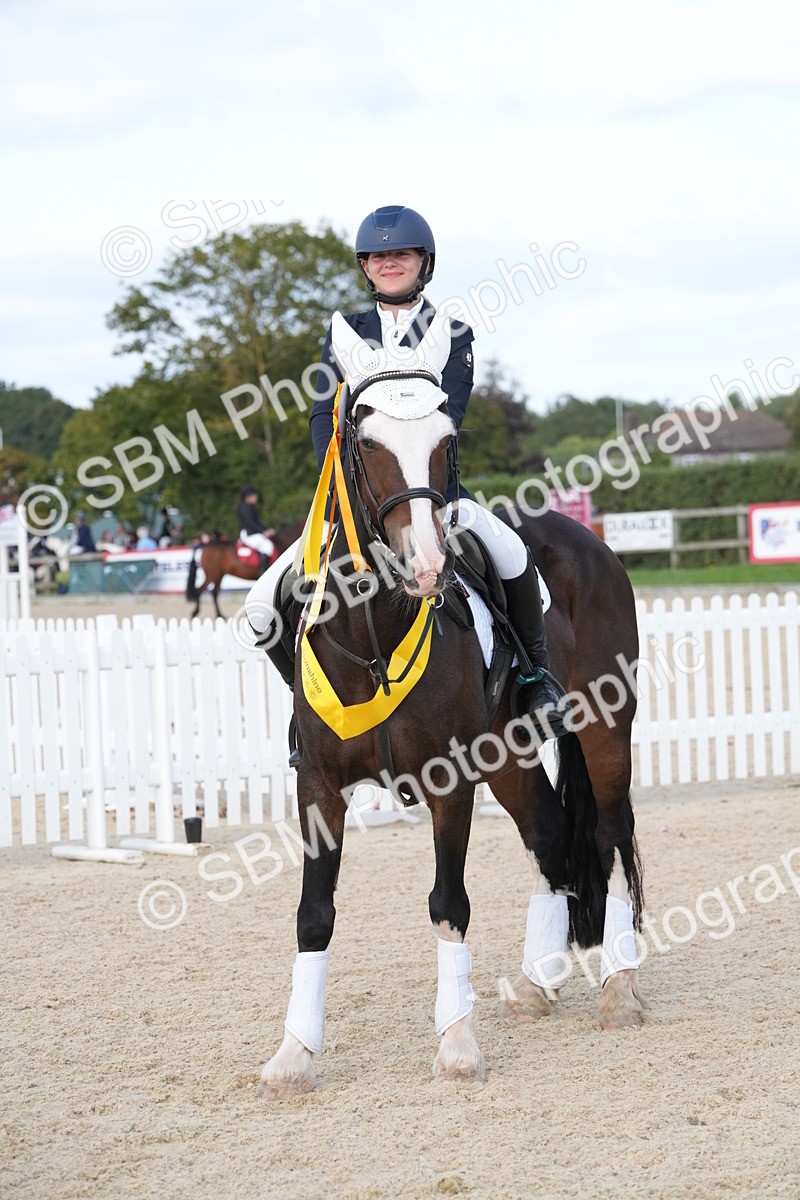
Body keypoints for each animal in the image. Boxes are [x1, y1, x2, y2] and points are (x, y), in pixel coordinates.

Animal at [257, 310, 643, 1100]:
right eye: (365, 439)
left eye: (447, 439)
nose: (429, 567)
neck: (374, 633)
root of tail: (588, 539)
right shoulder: (318, 785)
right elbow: (314, 915)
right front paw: (294, 1056)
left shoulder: (450, 782)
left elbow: (448, 904)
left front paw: (458, 1044)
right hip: (510, 757)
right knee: (552, 838)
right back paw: (536, 983)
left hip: (603, 729)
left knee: (608, 835)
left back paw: (618, 988)